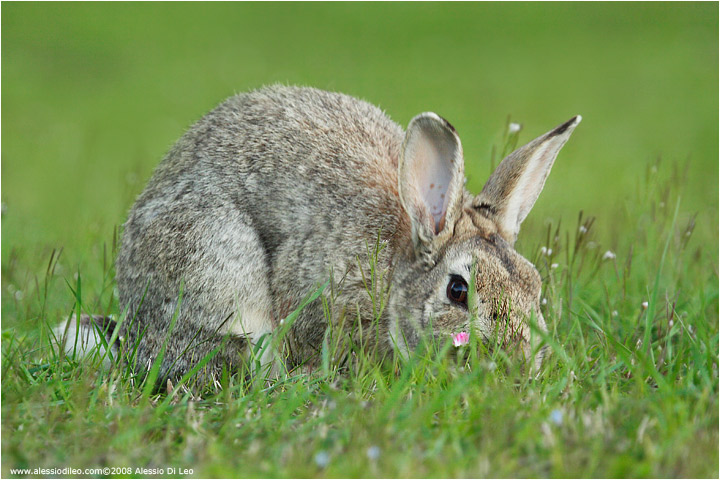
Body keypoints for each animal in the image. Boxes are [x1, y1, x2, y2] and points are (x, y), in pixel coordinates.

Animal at [59, 85, 584, 386]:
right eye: (458, 290)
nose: (517, 362)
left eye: (535, 287)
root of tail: (133, 327)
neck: (394, 273)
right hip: (214, 269)